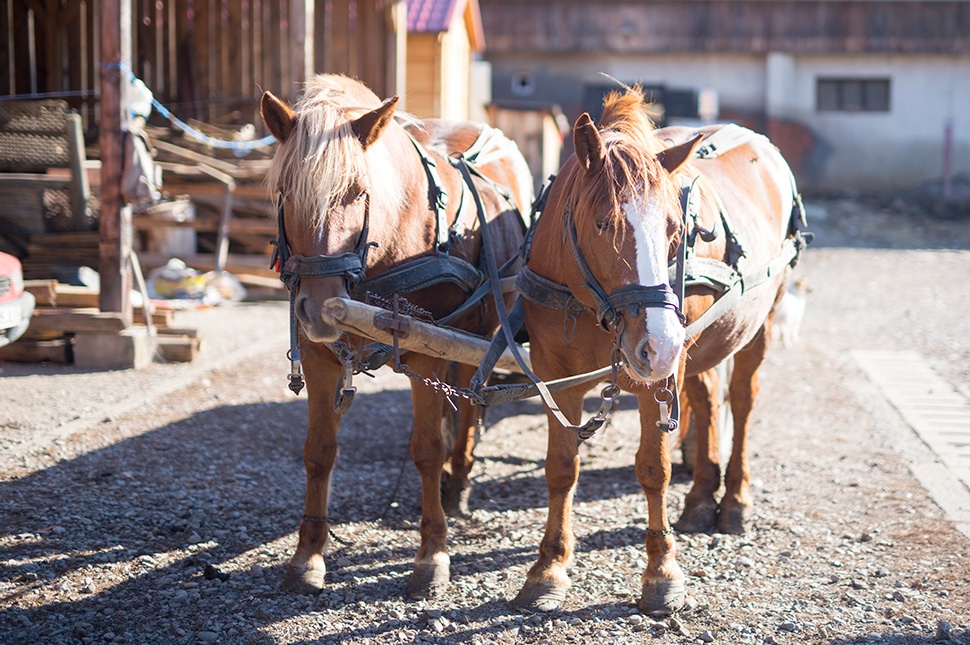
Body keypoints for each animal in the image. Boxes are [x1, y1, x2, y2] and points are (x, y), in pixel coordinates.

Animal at [260, 74, 533, 599]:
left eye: (358, 191)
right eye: (285, 190)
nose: (319, 306)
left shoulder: (427, 355)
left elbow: (426, 450)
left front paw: (432, 556)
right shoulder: (319, 355)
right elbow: (319, 452)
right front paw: (308, 556)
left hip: (480, 331)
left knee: (468, 409)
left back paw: (459, 481)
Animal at [512, 86, 806, 615]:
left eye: (676, 229)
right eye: (604, 223)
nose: (659, 343)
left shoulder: (657, 376)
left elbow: (654, 468)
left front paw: (661, 572)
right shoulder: (554, 375)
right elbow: (561, 469)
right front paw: (548, 568)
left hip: (758, 321)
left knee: (743, 400)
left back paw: (734, 500)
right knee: (707, 398)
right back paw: (701, 497)